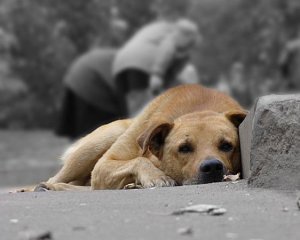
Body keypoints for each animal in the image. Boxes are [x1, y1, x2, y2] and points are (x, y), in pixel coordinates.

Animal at [31, 84, 246, 191]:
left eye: (227, 145)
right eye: (184, 148)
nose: (212, 167)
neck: (198, 109)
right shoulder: (104, 165)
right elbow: (139, 160)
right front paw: (157, 177)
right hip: (98, 144)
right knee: (57, 178)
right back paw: (44, 187)